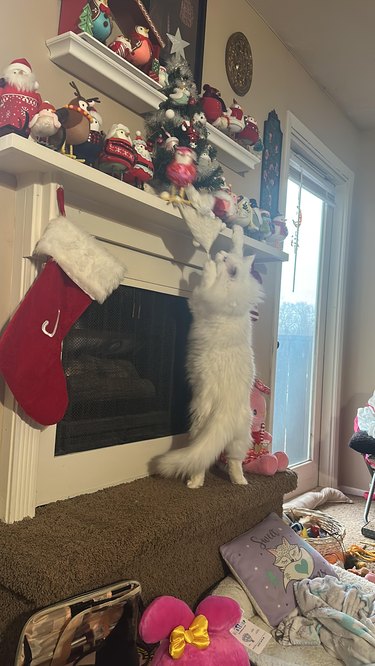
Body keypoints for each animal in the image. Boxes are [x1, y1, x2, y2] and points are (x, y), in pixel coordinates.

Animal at [155, 226, 262, 486]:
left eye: (224, 261)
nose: (219, 253)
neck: (236, 303)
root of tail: (227, 411)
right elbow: (239, 246)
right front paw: (237, 232)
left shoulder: (203, 296)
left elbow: (207, 280)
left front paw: (208, 266)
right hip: (242, 437)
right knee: (234, 461)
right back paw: (240, 482)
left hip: (198, 421)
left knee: (200, 462)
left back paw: (194, 484)